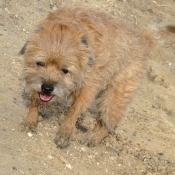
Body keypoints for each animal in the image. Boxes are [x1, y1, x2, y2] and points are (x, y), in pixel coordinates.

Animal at [19, 6, 153, 148]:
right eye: (40, 63)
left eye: (65, 70)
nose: (47, 88)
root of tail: (144, 40)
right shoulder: (34, 80)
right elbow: (34, 100)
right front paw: (30, 120)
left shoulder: (88, 88)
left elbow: (74, 110)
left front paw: (64, 133)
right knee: (102, 121)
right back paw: (91, 135)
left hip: (115, 98)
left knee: (110, 124)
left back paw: (93, 138)